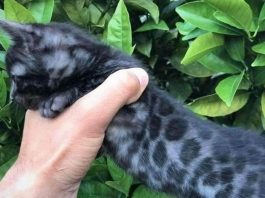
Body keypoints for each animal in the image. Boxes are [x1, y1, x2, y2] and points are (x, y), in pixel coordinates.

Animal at [0, 20, 264, 197]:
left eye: (15, 77)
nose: (11, 96)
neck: (99, 56)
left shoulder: (131, 85)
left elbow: (92, 81)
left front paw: (56, 99)